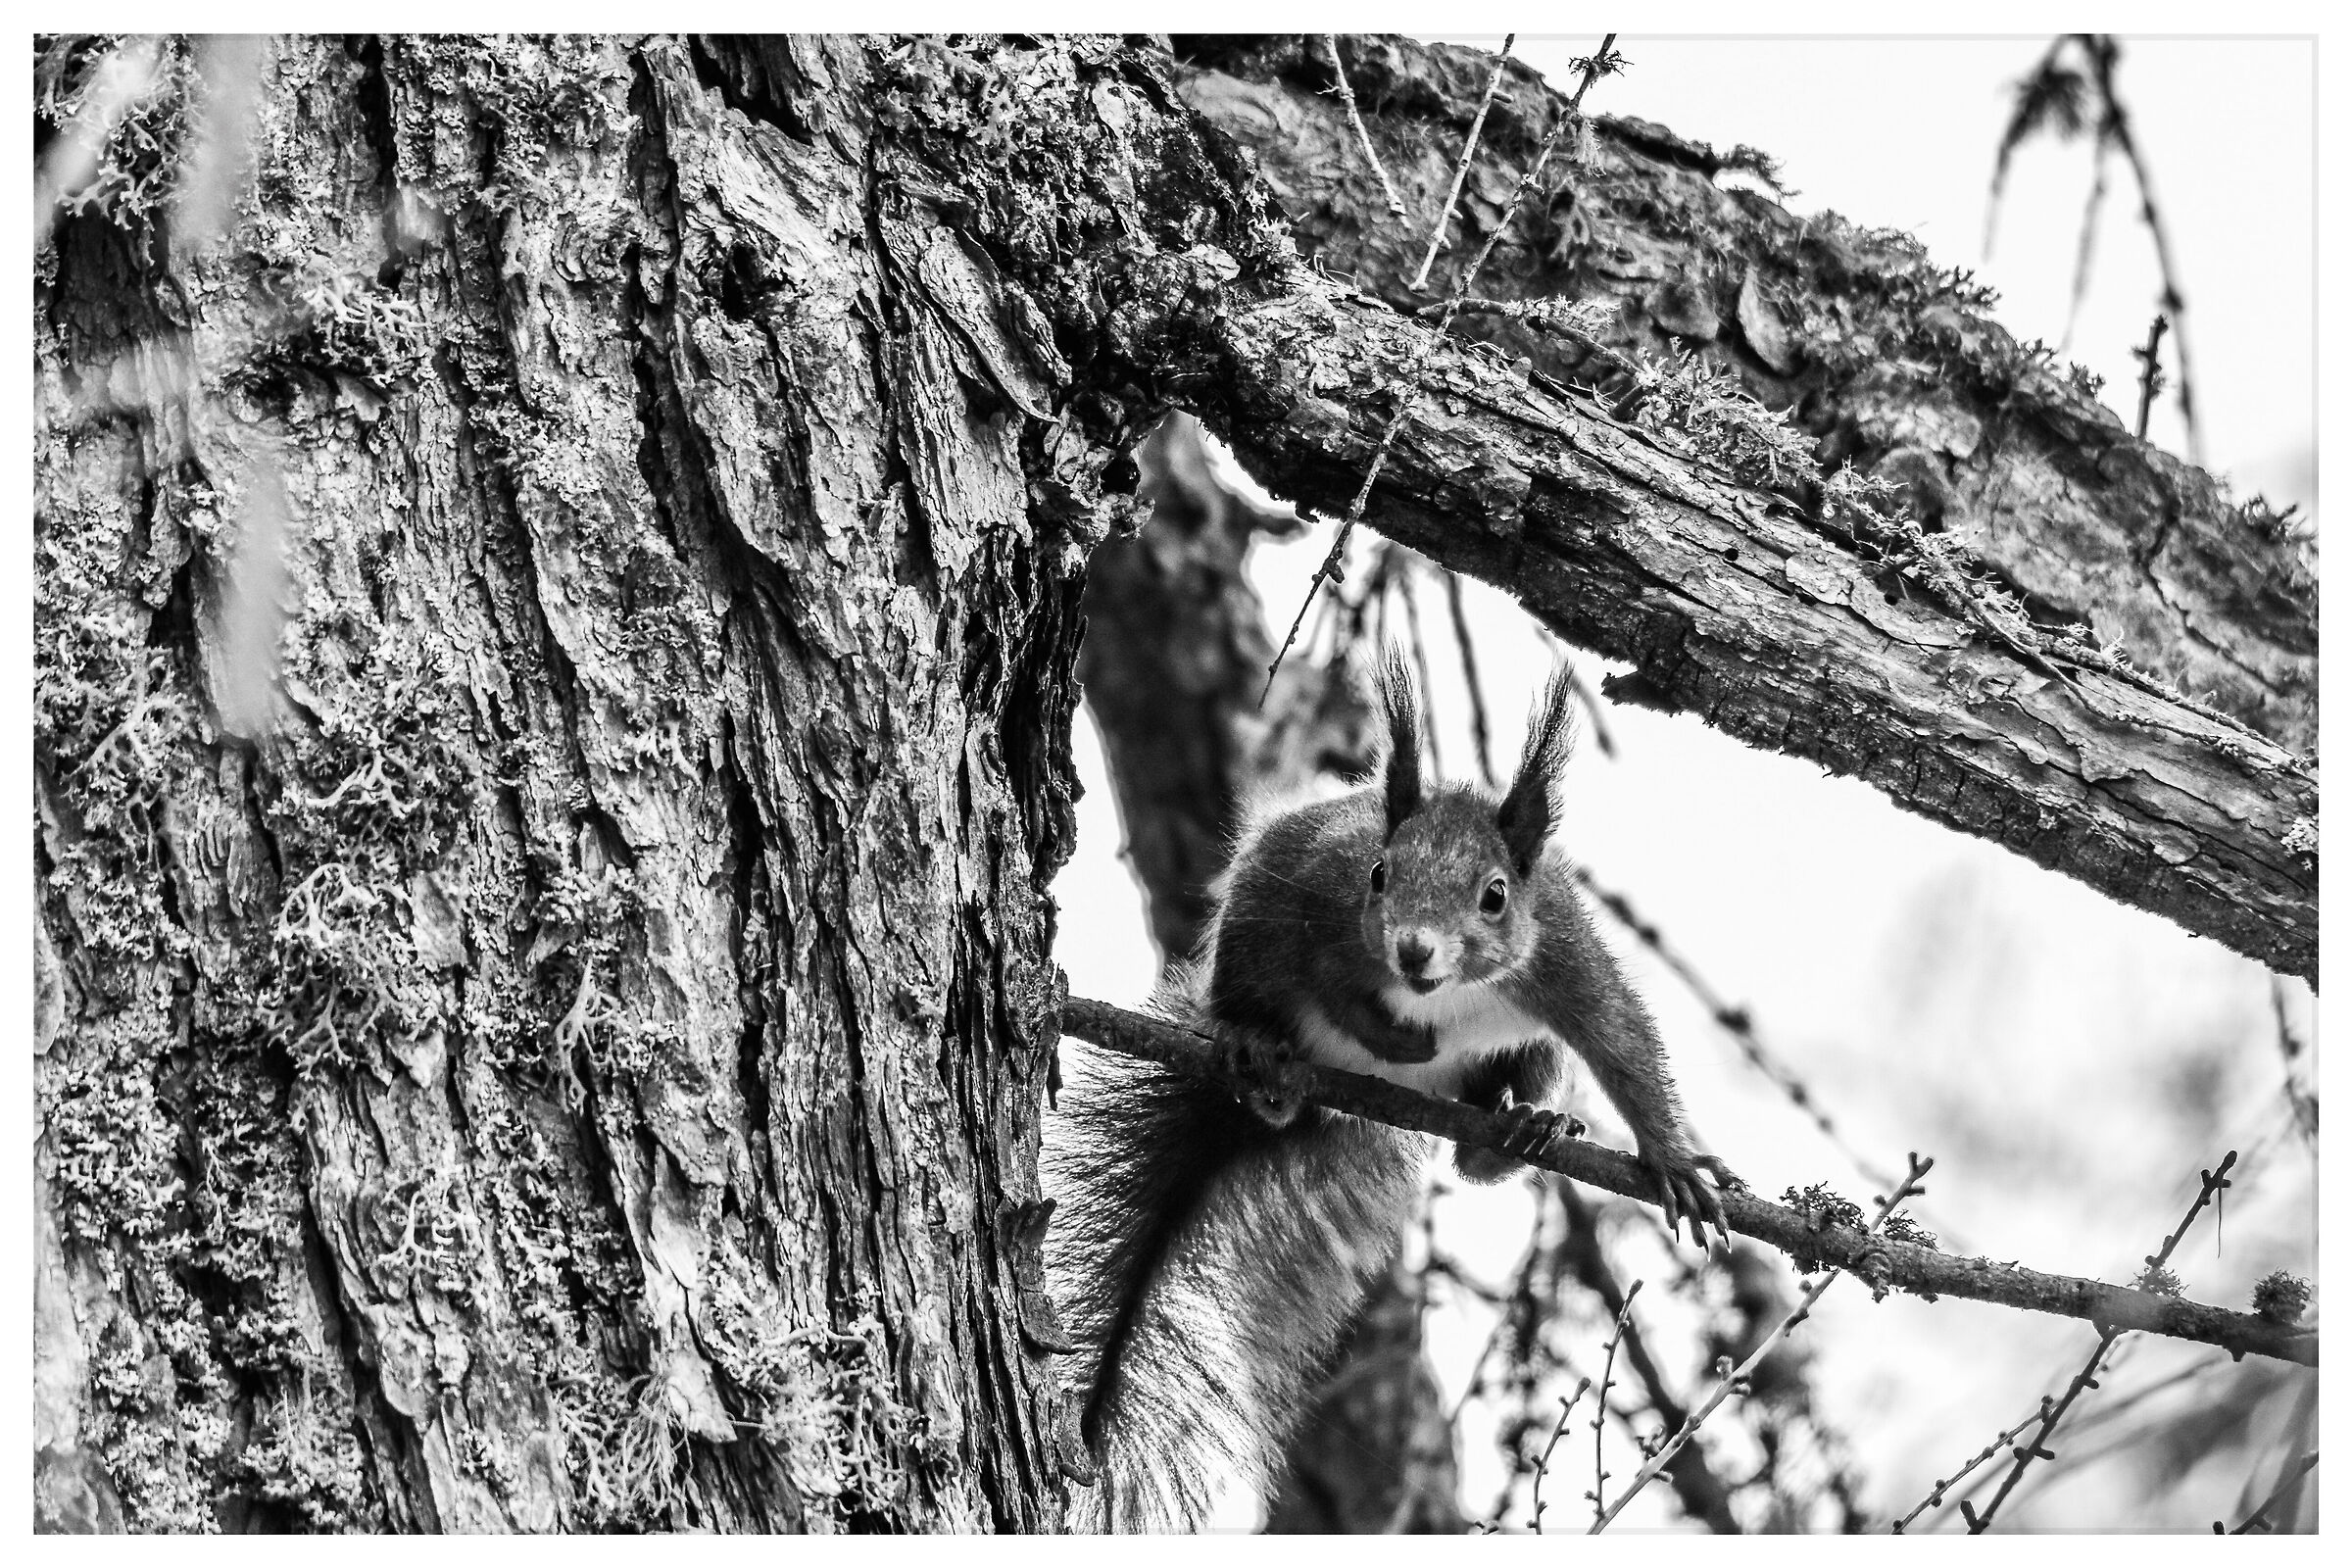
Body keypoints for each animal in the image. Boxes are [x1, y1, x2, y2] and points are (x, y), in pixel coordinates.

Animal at [1046, 650, 1735, 1531]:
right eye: (1381, 874)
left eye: (1495, 894)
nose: (1412, 951)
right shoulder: (1316, 904)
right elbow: (1331, 986)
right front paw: (1389, 1033)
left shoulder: (1564, 959)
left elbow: (1624, 1045)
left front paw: (1674, 1161)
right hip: (1254, 933)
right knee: (1251, 1008)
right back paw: (1261, 1062)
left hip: (1529, 1053)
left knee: (1492, 1129)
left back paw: (1519, 1130)